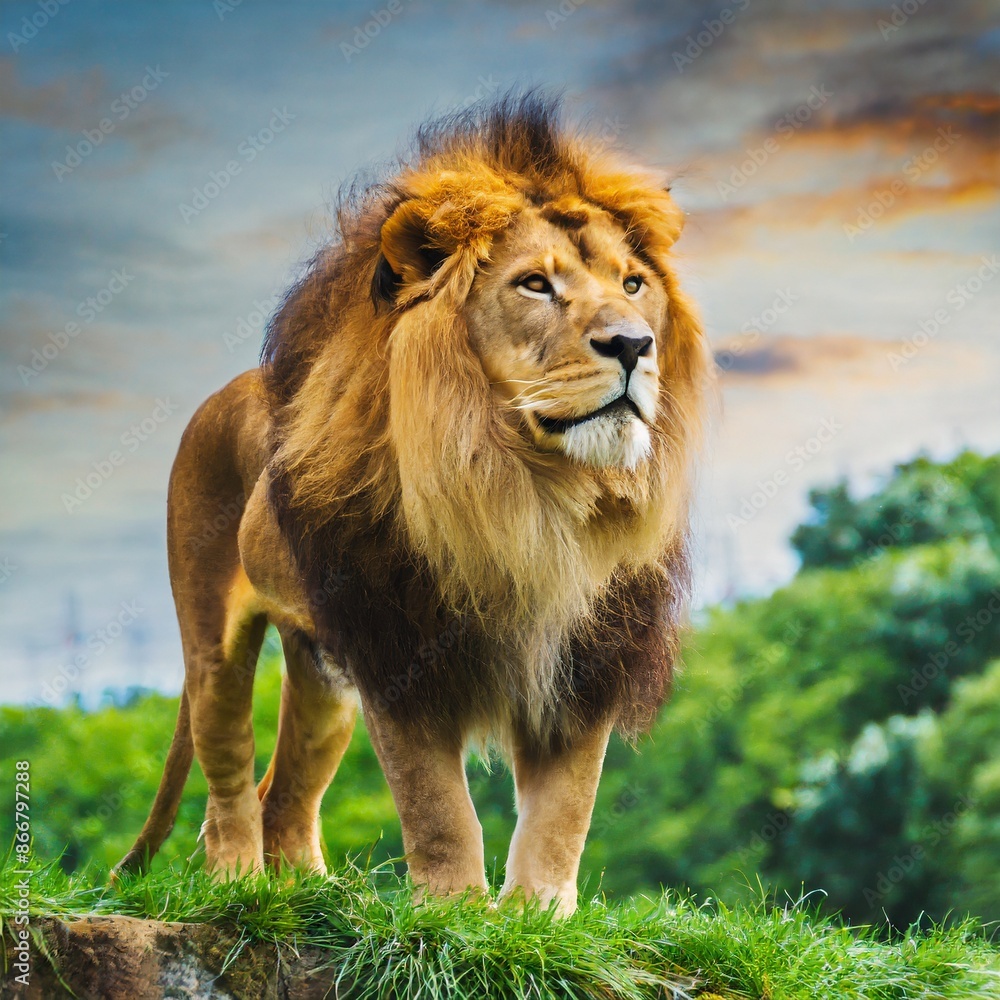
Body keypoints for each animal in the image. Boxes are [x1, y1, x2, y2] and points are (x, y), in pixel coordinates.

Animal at [116, 93, 710, 916]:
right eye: (535, 285)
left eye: (631, 285)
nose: (633, 344)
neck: (529, 491)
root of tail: (217, 397)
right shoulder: (399, 649)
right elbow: (437, 808)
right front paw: (455, 913)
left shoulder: (585, 658)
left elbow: (564, 812)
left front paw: (538, 918)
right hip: (214, 644)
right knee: (230, 779)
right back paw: (237, 885)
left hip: (323, 679)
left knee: (285, 794)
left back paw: (315, 896)